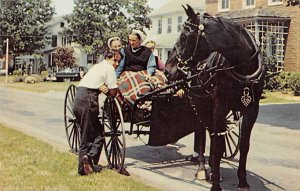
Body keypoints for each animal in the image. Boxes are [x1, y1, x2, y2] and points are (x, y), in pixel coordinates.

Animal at [165, 4, 266, 191]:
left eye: (184, 37)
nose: (168, 70)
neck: (242, 67)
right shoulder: (220, 106)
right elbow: (218, 145)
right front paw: (216, 185)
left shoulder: (251, 110)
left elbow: (244, 145)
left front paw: (242, 182)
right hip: (200, 103)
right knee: (202, 133)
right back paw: (202, 169)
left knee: (211, 132)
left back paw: (212, 167)